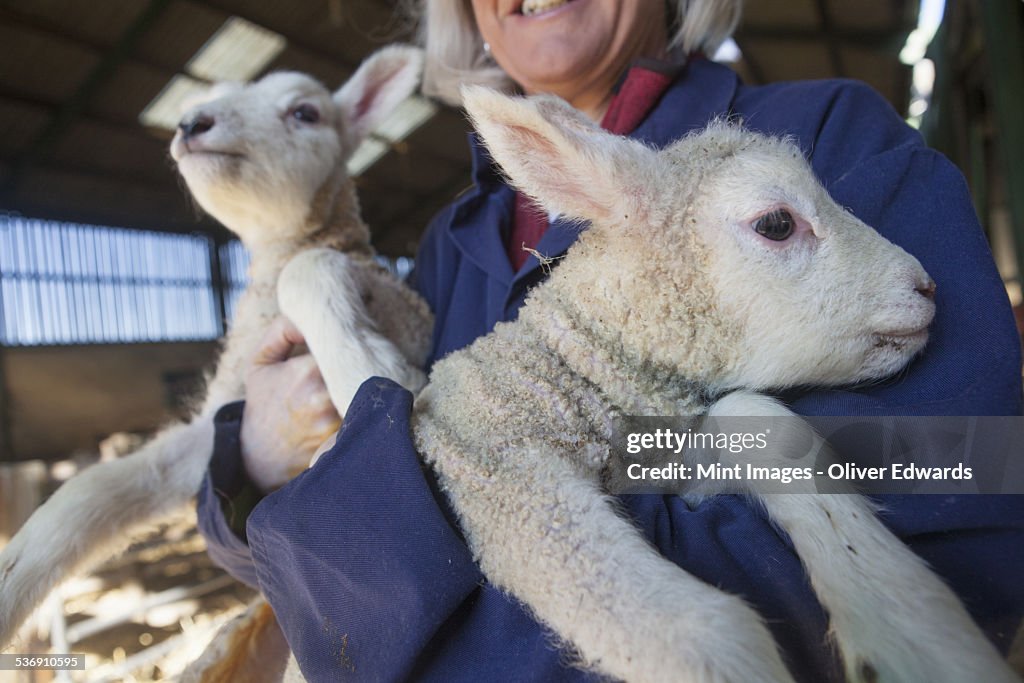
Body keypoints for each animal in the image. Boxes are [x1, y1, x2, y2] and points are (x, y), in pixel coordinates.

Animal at [0, 45, 432, 655]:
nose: (191, 123)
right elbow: (93, 487)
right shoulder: (221, 416)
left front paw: (367, 370)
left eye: (305, 112)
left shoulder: (413, 315)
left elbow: (308, 270)